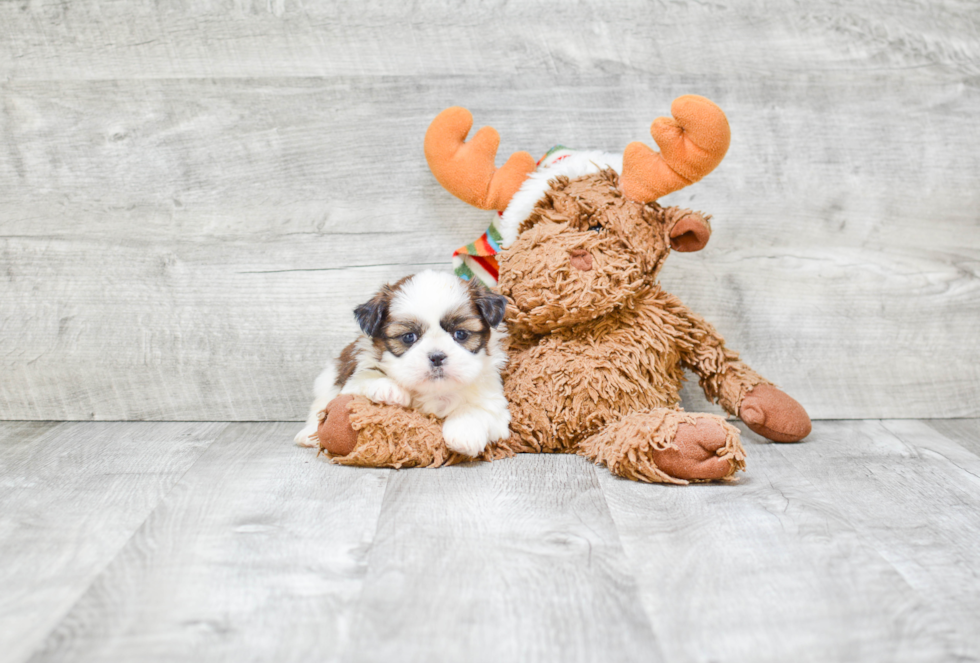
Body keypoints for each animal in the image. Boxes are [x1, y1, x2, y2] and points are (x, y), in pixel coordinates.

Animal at [292, 270, 512, 456]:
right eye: (408, 337)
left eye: (461, 334)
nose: (437, 356)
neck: (434, 391)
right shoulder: (351, 380)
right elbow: (365, 376)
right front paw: (388, 388)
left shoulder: (496, 408)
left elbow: (476, 409)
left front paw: (464, 434)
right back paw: (308, 434)